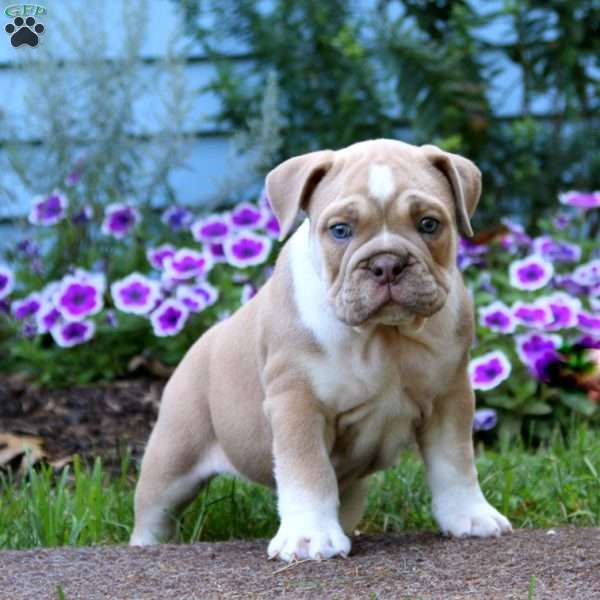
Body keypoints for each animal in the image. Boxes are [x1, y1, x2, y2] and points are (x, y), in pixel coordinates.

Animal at [130, 138, 510, 560]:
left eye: (429, 224)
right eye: (340, 230)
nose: (387, 263)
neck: (383, 337)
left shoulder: (449, 397)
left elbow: (454, 462)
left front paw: (470, 516)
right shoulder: (297, 403)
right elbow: (308, 471)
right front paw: (308, 535)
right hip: (173, 457)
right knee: (154, 511)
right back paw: (146, 544)